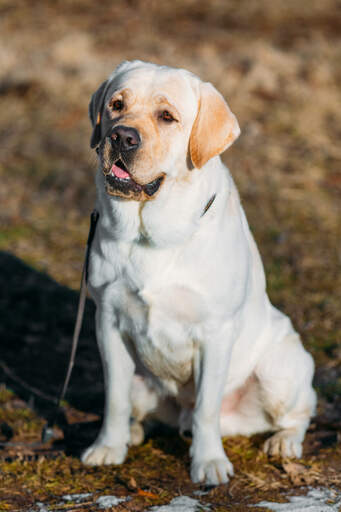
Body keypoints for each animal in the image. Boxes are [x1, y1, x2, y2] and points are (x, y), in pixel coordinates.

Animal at [81, 60, 314, 484]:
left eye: (167, 116)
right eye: (116, 105)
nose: (121, 137)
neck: (149, 237)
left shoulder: (215, 332)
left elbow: (207, 406)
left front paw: (208, 463)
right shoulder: (108, 321)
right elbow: (114, 399)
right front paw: (108, 447)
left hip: (281, 368)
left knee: (298, 411)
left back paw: (283, 443)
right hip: (143, 381)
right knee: (142, 409)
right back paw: (133, 433)